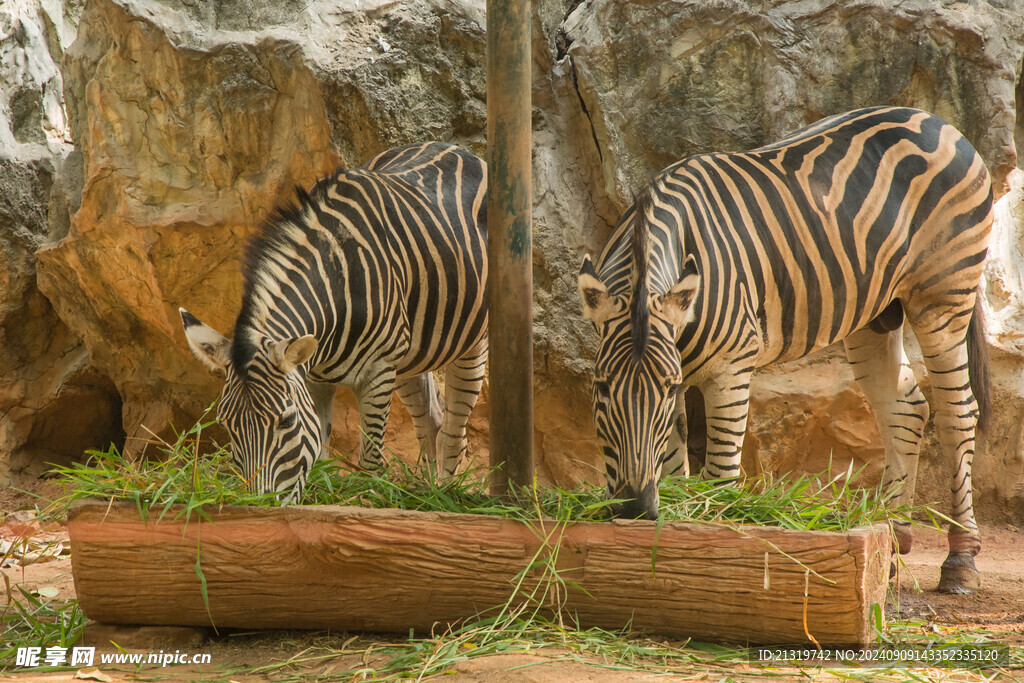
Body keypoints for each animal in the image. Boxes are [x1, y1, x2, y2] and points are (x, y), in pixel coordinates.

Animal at [182, 141, 489, 501]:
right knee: (432, 417)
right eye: (227, 425)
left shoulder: (378, 371)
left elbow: (371, 461)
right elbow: (320, 455)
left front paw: (367, 500)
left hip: (471, 340)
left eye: (286, 421)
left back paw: (448, 492)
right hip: (411, 352)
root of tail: (451, 146)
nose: (263, 503)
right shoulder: (314, 377)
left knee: (455, 426)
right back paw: (425, 492)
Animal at [585, 107, 991, 593]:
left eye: (664, 390)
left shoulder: (729, 369)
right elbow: (671, 464)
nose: (632, 510)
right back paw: (892, 540)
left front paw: (714, 550)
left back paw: (961, 559)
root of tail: (933, 118)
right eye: (601, 389)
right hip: (877, 313)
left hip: (944, 295)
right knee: (905, 408)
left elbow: (719, 476)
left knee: (957, 414)